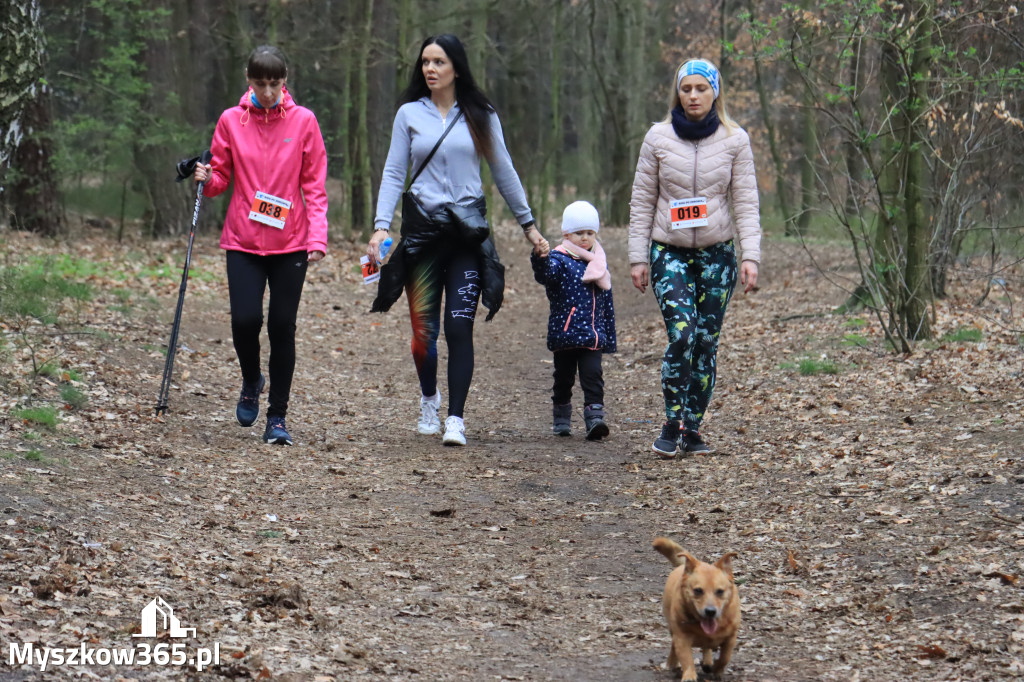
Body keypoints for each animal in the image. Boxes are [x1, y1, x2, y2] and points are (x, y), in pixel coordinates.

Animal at [651, 536, 741, 679]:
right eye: (698, 590)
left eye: (720, 591)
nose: (710, 611)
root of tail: (682, 566)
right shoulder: (682, 638)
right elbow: (687, 659)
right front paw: (689, 676)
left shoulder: (731, 638)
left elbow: (725, 657)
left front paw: (717, 669)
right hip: (672, 627)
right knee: (674, 646)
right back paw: (672, 662)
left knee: (707, 648)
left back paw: (708, 662)